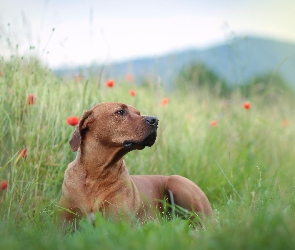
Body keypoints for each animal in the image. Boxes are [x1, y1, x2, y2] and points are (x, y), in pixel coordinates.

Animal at [59, 102, 213, 226]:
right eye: (120, 111)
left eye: (138, 113)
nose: (155, 120)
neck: (95, 175)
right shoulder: (64, 223)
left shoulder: (117, 224)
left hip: (177, 182)